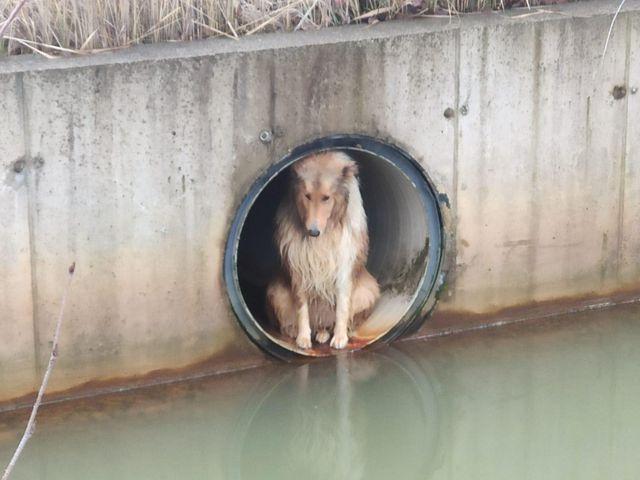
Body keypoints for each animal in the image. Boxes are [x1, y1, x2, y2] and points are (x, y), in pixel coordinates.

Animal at [266, 151, 380, 349]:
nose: (313, 232)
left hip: (367, 291)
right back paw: (297, 331)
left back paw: (324, 333)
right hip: (276, 292)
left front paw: (340, 337)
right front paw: (303, 338)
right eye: (307, 196)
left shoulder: (343, 266)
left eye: (326, 197)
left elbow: (342, 307)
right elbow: (302, 308)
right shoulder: (299, 269)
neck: (324, 235)